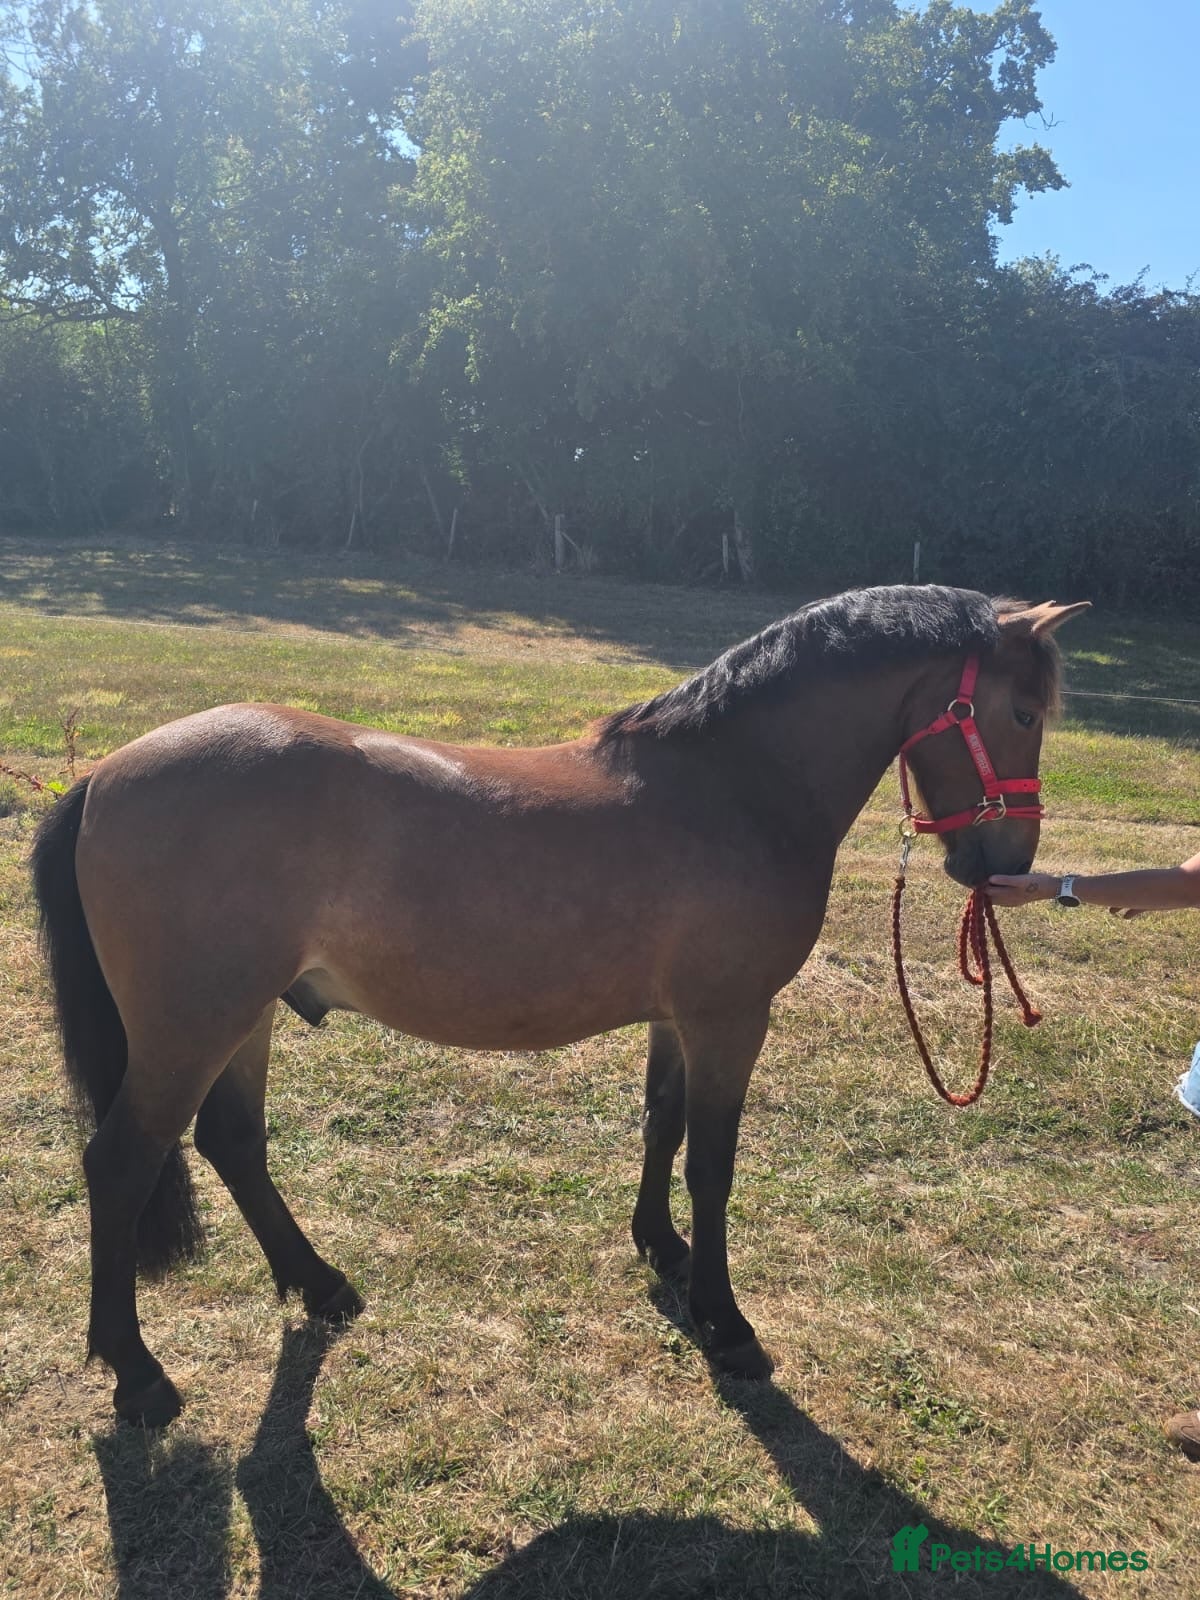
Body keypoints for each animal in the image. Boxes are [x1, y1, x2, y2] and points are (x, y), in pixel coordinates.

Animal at [30, 583, 1087, 1426]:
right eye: (1022, 710)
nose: (1006, 864)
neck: (735, 785)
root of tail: (106, 774)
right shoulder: (730, 1018)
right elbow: (712, 1164)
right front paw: (726, 1322)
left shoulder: (677, 1019)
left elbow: (661, 1125)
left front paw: (660, 1248)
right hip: (188, 1028)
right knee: (120, 1165)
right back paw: (138, 1375)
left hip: (239, 1018)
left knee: (233, 1144)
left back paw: (320, 1285)